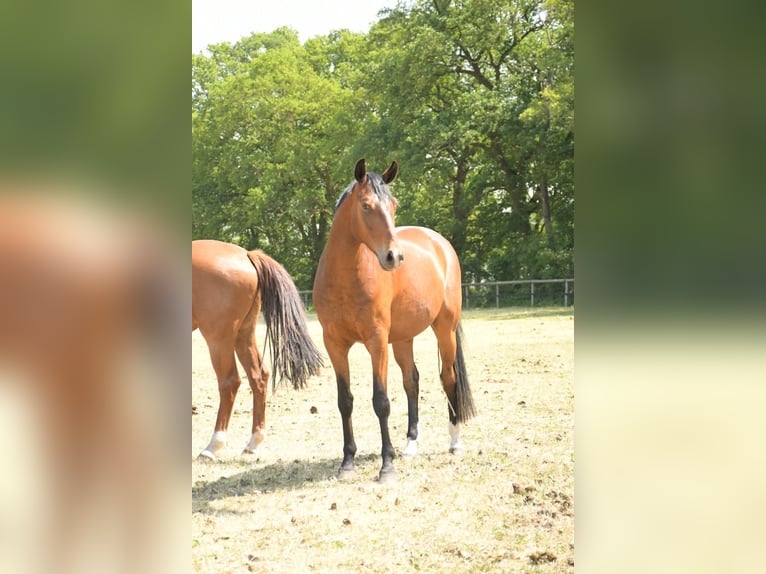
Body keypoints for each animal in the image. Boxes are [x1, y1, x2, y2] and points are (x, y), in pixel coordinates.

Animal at [195, 241, 324, 462]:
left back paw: (213, 446)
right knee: (259, 376)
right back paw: (254, 443)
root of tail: (247, 255)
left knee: (230, 383)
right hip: (243, 334)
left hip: (219, 339)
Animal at [312, 156, 474, 482]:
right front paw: (347, 461)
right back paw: (411, 444)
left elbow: (381, 401)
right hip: (402, 338)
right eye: (365, 206)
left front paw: (386, 465)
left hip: (445, 329)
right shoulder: (334, 344)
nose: (394, 257)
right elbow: (344, 401)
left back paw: (454, 441)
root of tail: (440, 242)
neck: (345, 280)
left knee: (448, 378)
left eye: (394, 204)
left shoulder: (376, 342)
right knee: (412, 380)